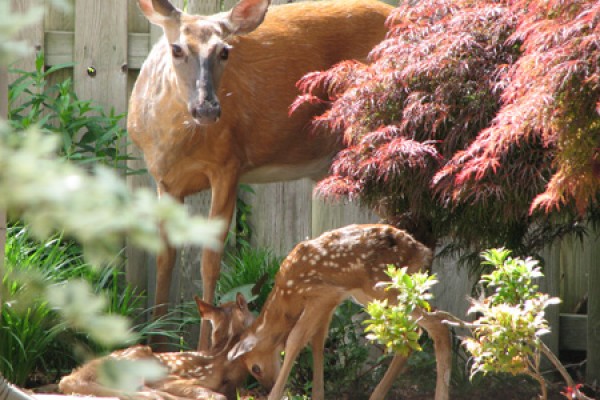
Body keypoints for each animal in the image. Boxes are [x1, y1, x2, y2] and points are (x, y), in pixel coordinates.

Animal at [127, 0, 394, 350]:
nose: (207, 108)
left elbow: (210, 260)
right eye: (177, 48)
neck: (175, 141)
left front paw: (204, 348)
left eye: (225, 51)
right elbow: (164, 256)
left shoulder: (228, 163)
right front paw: (156, 343)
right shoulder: (164, 179)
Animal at [229, 225, 450, 400]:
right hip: (374, 295)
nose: (267, 387)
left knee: (438, 324)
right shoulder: (331, 301)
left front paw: (275, 396)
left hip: (385, 288)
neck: (287, 295)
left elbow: (295, 340)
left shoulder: (323, 293)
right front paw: (318, 395)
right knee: (413, 333)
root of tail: (423, 251)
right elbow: (317, 342)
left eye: (255, 368)